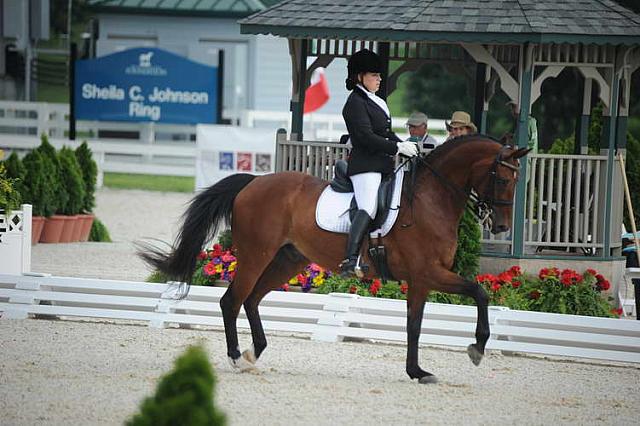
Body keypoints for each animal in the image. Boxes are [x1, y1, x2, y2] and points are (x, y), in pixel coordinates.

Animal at [140, 135, 528, 384]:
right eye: (501, 178)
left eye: (517, 179)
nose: (502, 226)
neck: (430, 199)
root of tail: (252, 183)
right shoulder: (427, 273)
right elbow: (479, 292)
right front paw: (476, 348)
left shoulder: (423, 278)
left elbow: (416, 325)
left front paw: (418, 371)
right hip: (256, 254)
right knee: (232, 300)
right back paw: (237, 358)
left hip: (288, 261)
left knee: (251, 300)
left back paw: (255, 351)